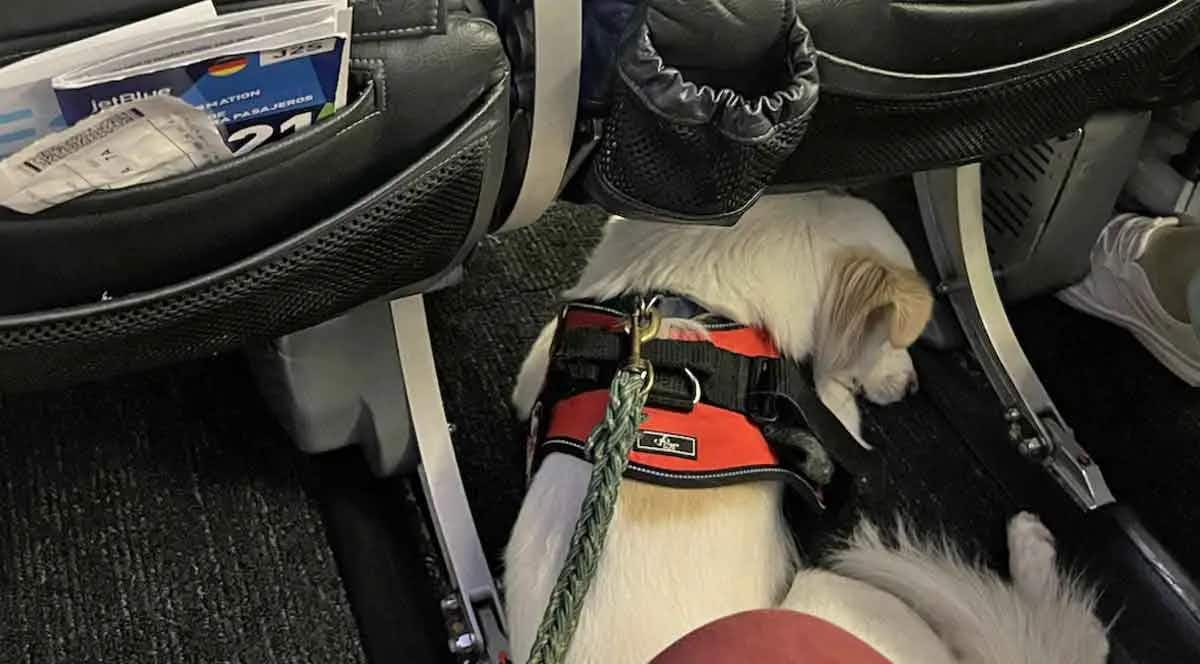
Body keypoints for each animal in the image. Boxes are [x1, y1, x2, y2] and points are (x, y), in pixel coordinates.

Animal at [501, 192, 1108, 662]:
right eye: (892, 338)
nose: (912, 387)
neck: (685, 303)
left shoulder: (544, 361)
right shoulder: (829, 425)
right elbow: (839, 400)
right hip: (843, 595)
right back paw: (1032, 550)